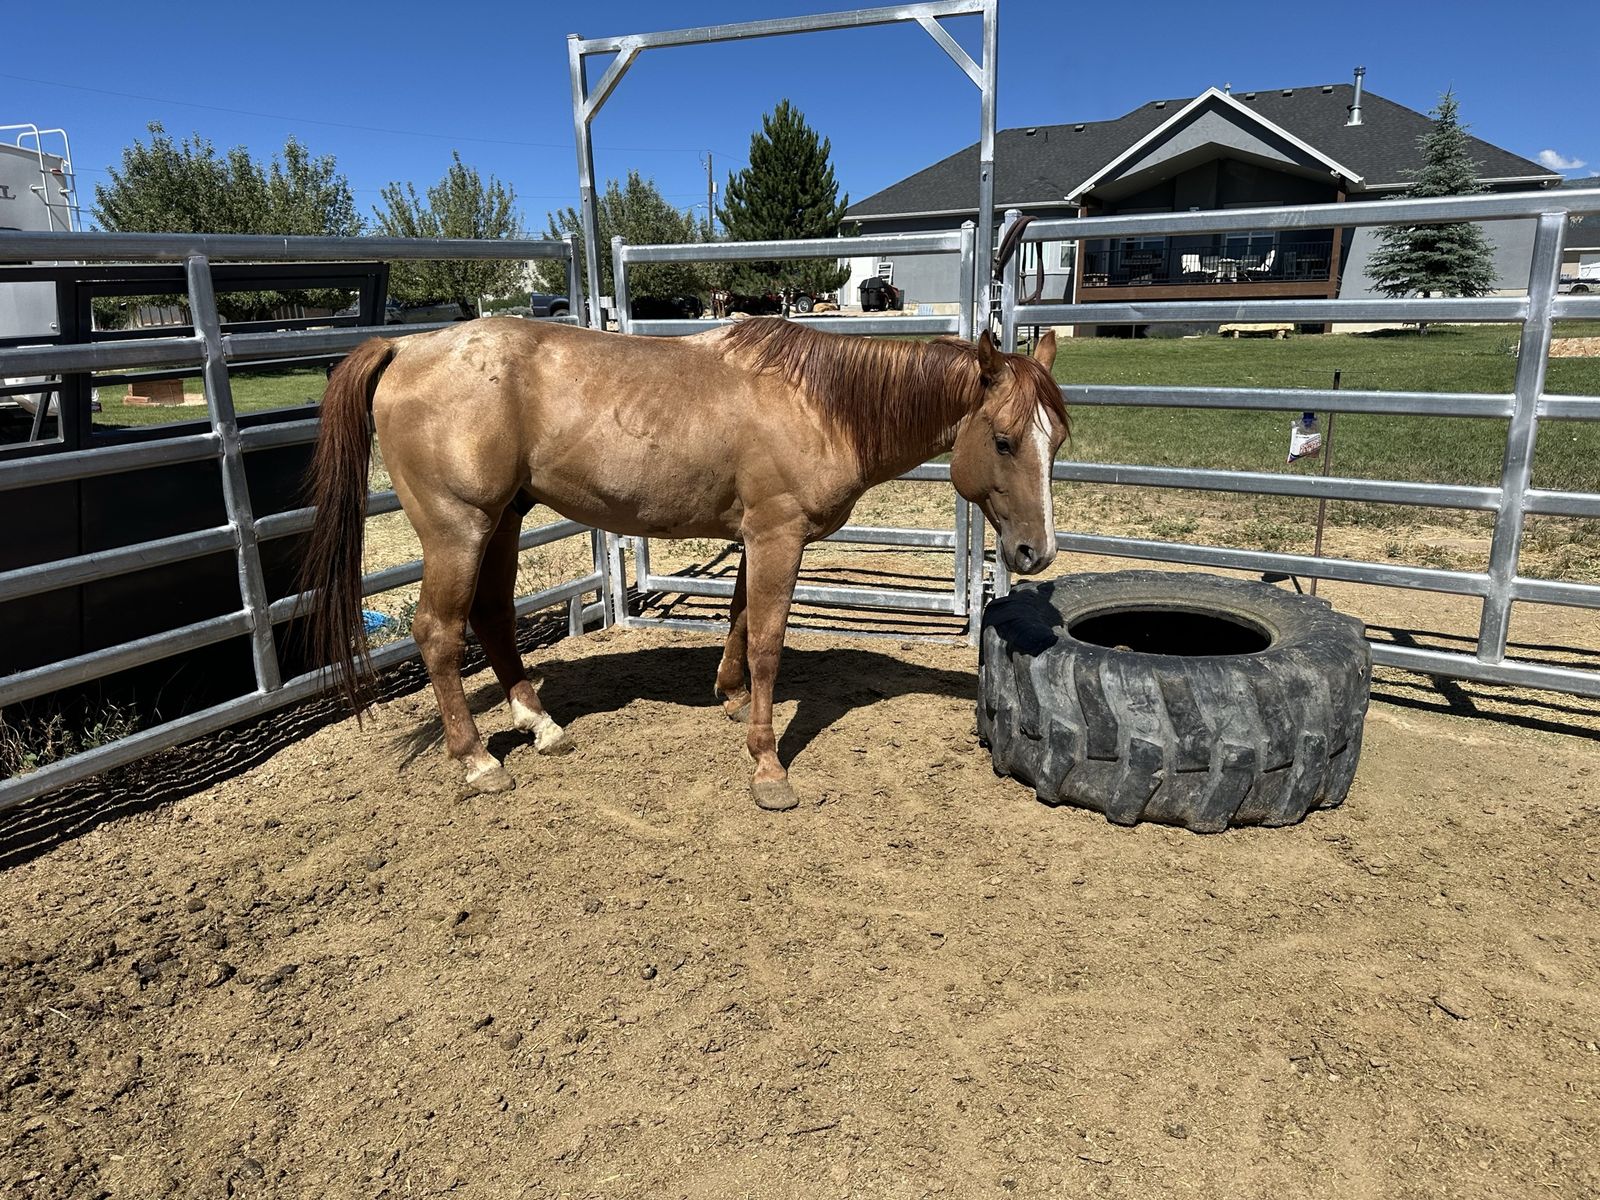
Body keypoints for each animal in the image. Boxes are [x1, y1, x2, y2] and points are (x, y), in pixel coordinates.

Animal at [300, 317, 1068, 811]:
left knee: (490, 617)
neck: (817, 404)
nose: (1036, 553)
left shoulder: (755, 535)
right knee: (437, 632)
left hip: (504, 522)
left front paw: (730, 699)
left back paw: (540, 726)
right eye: (1004, 441)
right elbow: (767, 643)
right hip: (458, 529)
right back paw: (478, 761)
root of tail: (406, 347)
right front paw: (767, 766)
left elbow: (738, 623)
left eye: (1055, 440)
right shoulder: (778, 536)